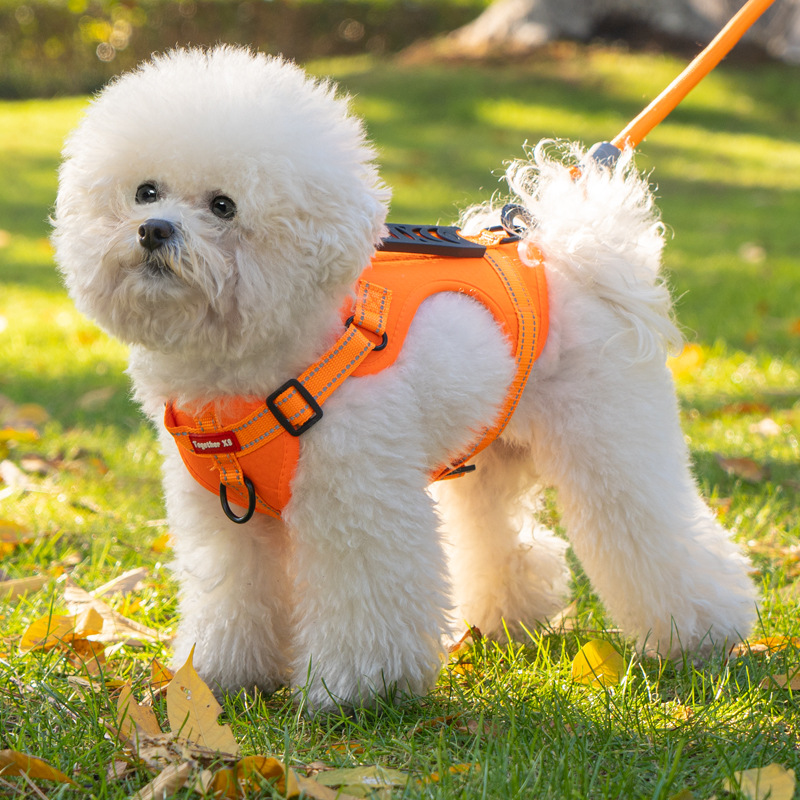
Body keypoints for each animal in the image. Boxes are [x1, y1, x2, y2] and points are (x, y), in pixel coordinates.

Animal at [54, 45, 756, 708]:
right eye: (146, 192)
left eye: (222, 206)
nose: (153, 229)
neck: (261, 359)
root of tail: (566, 254)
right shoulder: (230, 518)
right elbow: (234, 597)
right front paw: (223, 678)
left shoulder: (356, 497)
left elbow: (363, 598)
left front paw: (358, 690)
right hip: (490, 451)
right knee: (503, 539)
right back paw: (508, 619)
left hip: (611, 434)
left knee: (650, 526)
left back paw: (703, 632)